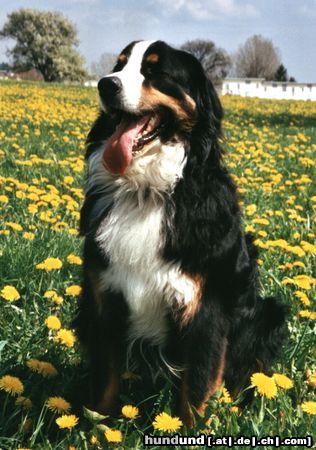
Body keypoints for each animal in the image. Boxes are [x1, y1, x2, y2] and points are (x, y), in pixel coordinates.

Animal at [74, 39, 286, 426]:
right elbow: (106, 383)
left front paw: (189, 430)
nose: (105, 84)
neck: (146, 190)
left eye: (155, 71)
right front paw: (97, 428)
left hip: (268, 315)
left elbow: (197, 387)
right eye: (119, 65)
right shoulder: (104, 297)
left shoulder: (205, 309)